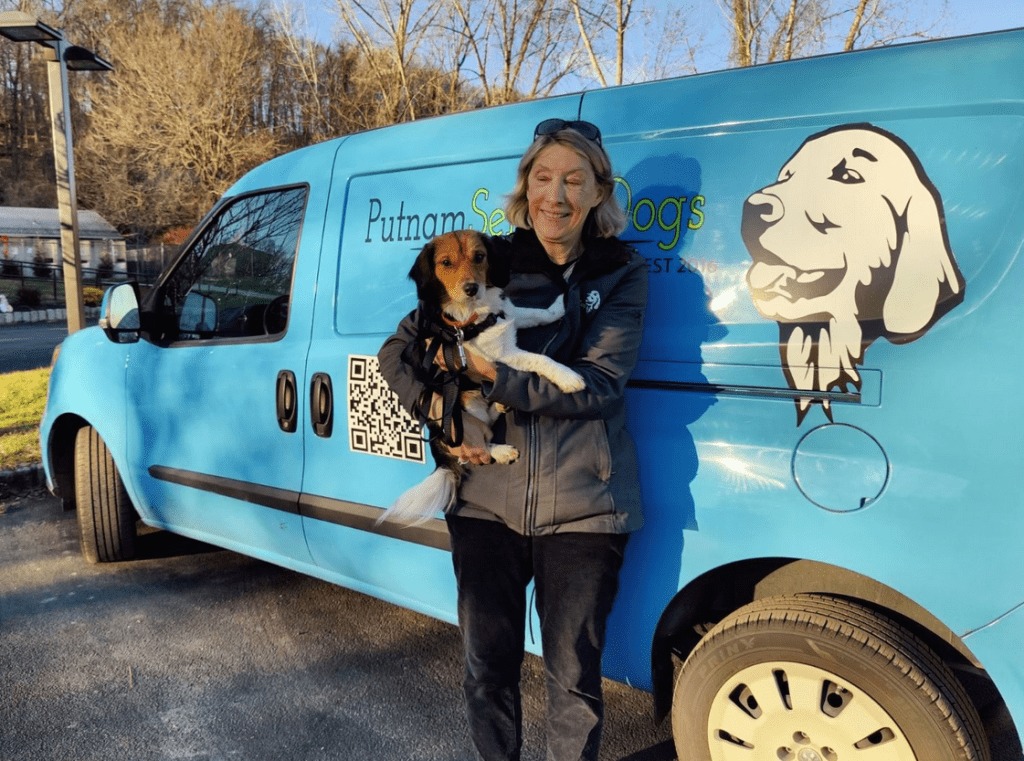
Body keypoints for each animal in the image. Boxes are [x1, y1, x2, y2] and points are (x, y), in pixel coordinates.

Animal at [376, 229, 585, 528]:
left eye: (479, 256)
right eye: (446, 263)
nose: (471, 288)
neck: (474, 314)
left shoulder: (507, 318)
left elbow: (536, 313)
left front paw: (559, 306)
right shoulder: (502, 355)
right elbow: (540, 360)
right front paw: (567, 377)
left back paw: (500, 404)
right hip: (463, 416)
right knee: (479, 446)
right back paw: (500, 450)